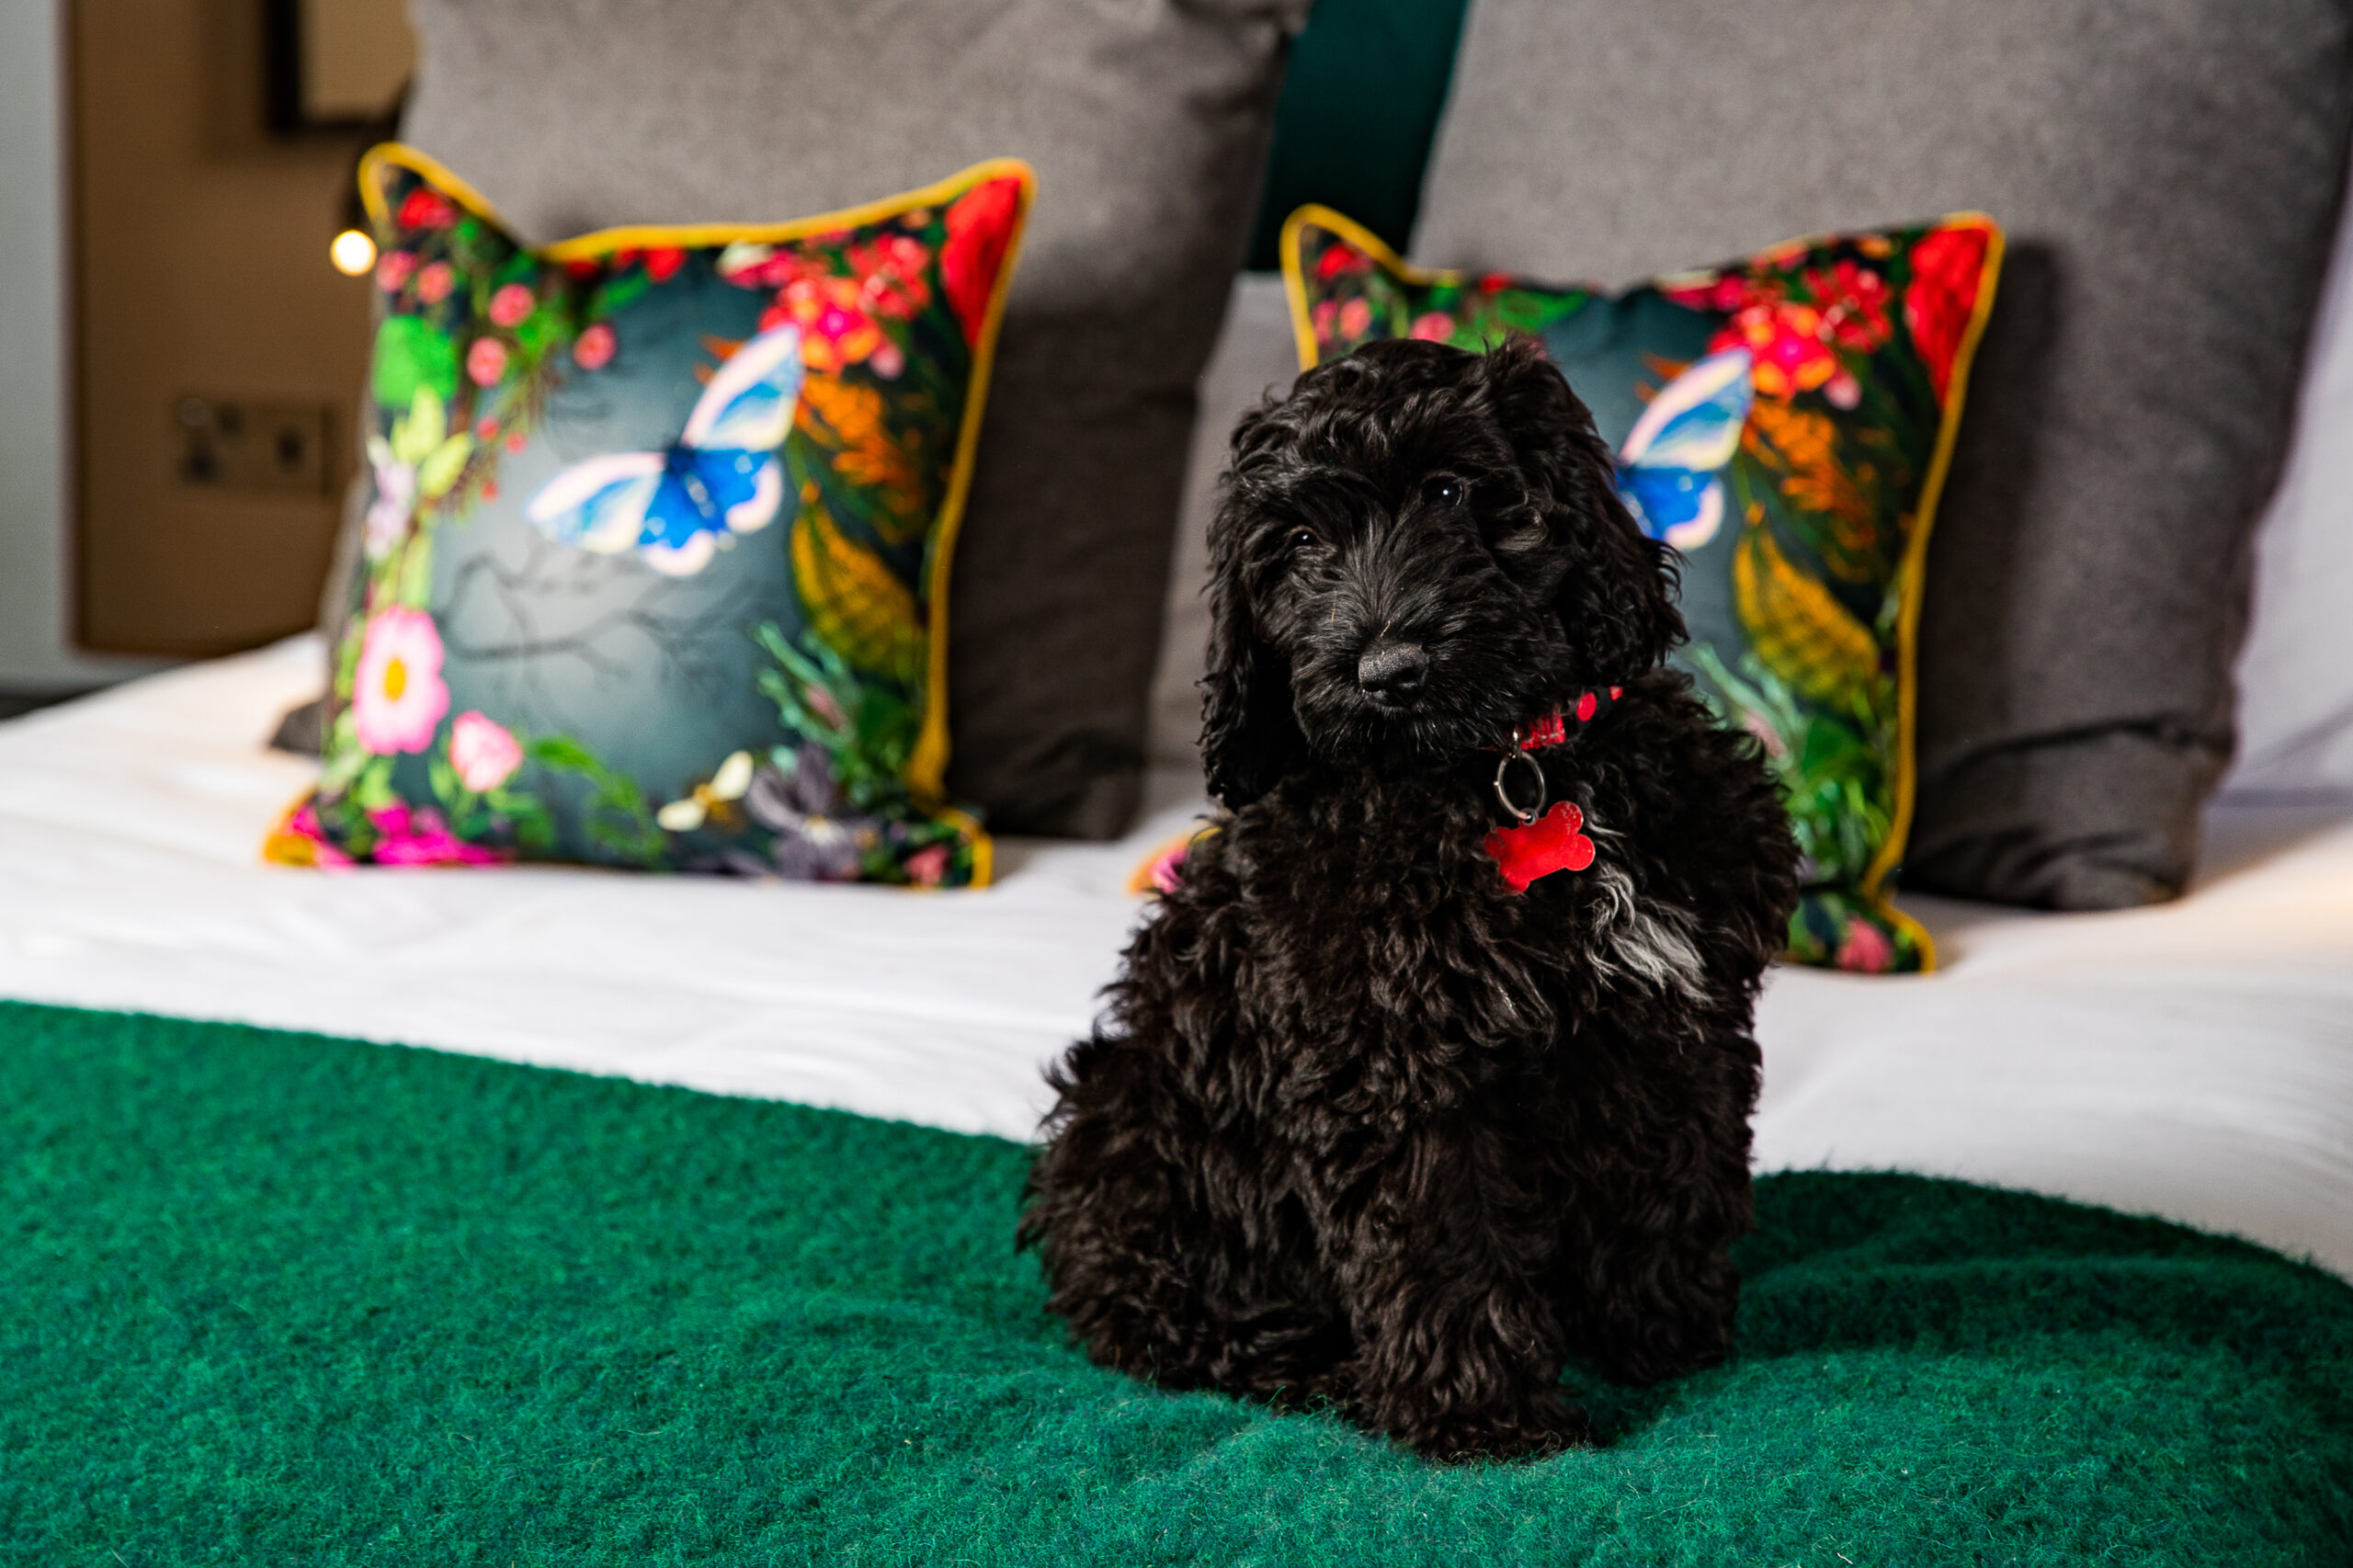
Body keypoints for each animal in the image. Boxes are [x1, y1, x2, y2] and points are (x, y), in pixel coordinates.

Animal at [1020, 336, 1800, 1460]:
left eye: (1446, 491)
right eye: (1299, 544)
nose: (1389, 669)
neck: (1508, 774)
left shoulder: (1677, 1014)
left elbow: (1673, 1178)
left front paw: (1665, 1337)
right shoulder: (1390, 1065)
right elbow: (1441, 1238)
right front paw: (1483, 1421)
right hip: (1129, 1125)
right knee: (1174, 1317)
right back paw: (1317, 1370)